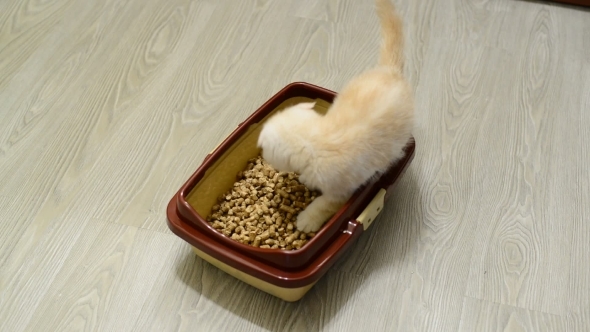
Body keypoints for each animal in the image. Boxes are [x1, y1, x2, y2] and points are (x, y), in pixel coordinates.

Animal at [256, 0, 414, 233]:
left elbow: (322, 205)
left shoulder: (341, 191)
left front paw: (306, 220)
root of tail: (390, 71)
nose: (264, 156)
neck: (317, 139)